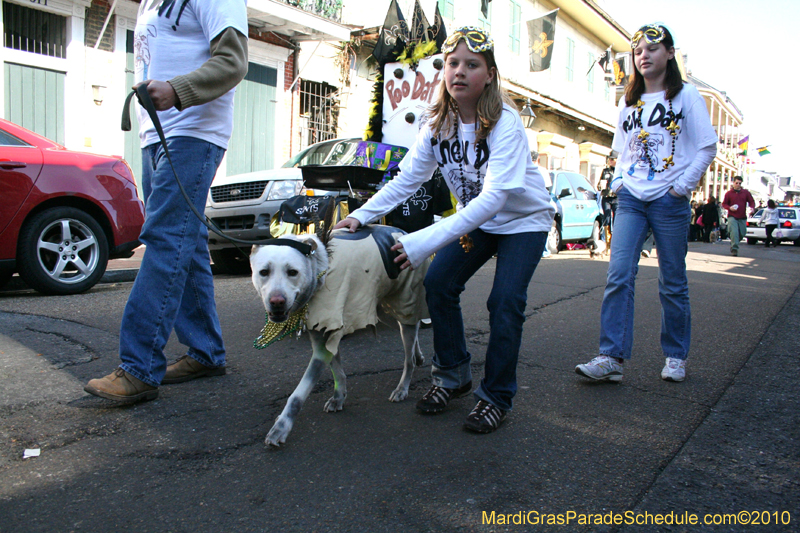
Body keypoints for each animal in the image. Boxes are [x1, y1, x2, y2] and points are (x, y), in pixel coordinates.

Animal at [252, 224, 432, 444]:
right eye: (264, 272)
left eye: (292, 272)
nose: (277, 302)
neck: (320, 268)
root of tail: (403, 232)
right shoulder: (324, 333)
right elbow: (337, 372)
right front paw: (339, 397)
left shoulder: (325, 338)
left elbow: (297, 395)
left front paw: (281, 427)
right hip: (382, 309)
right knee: (410, 325)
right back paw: (418, 354)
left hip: (405, 297)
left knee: (408, 352)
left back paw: (403, 386)